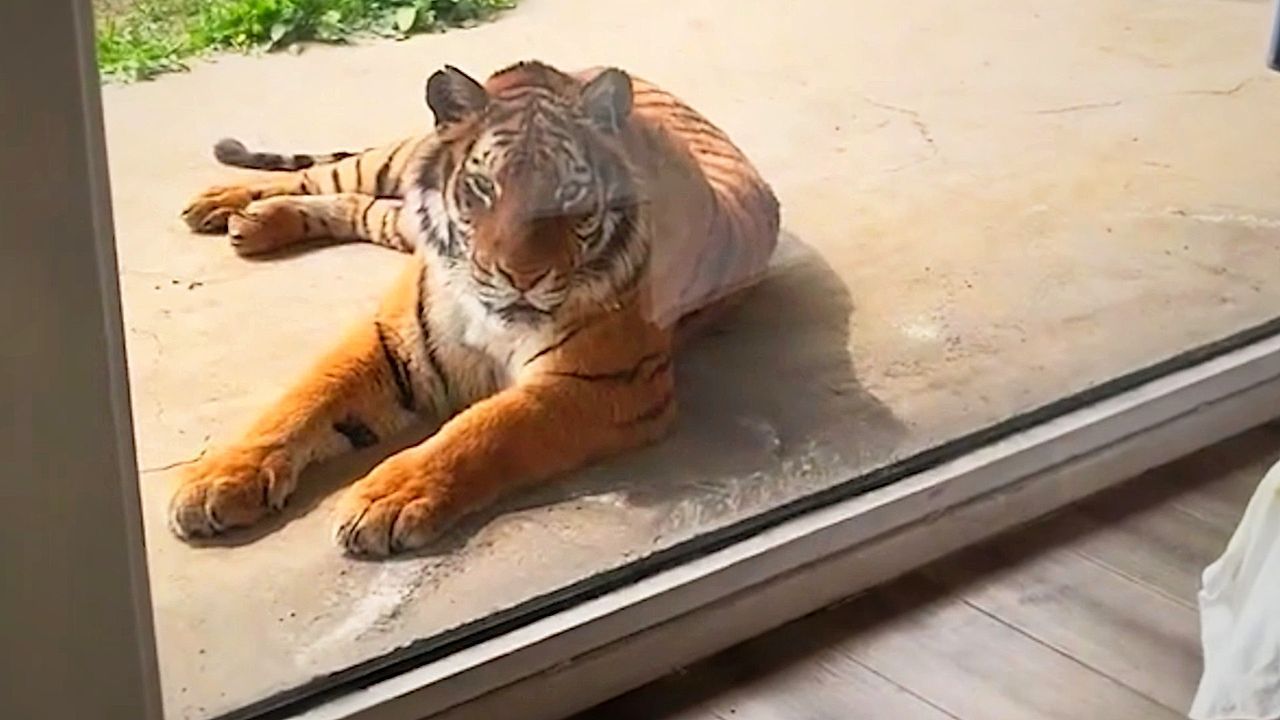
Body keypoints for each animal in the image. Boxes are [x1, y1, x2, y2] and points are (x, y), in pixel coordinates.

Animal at [171, 61, 780, 557]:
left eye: (570, 196)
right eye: (483, 187)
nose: (522, 278)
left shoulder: (609, 383)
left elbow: (486, 428)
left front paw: (388, 498)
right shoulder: (394, 340)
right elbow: (306, 397)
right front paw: (219, 478)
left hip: (397, 218)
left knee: (361, 206)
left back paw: (252, 223)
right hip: (394, 160)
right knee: (327, 175)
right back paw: (223, 204)